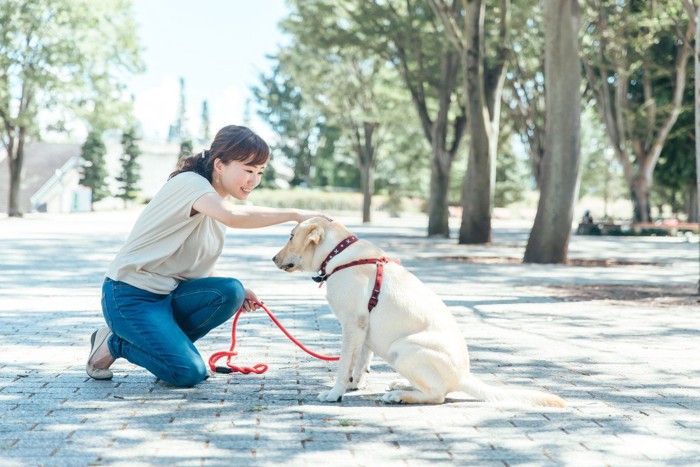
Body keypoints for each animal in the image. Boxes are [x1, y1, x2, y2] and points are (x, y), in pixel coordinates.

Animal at [270, 218, 568, 408]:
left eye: (290, 236)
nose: (273, 258)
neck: (338, 253)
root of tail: (464, 376)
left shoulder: (352, 324)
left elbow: (344, 364)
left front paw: (335, 393)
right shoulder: (363, 327)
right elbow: (361, 360)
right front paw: (355, 384)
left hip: (402, 349)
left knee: (437, 395)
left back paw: (400, 396)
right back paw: (400, 387)